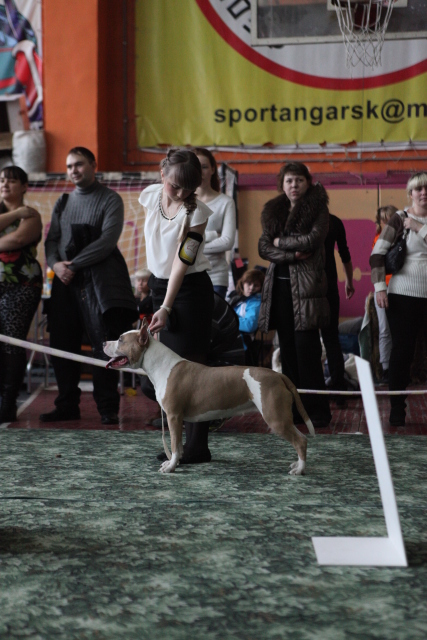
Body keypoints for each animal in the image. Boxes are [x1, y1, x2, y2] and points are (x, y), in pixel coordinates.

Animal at [103, 321, 315, 475]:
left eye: (120, 339)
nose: (104, 342)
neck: (160, 365)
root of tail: (278, 376)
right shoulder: (177, 418)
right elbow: (178, 446)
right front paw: (175, 462)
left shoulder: (173, 416)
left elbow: (173, 444)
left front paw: (171, 467)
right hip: (281, 415)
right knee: (301, 437)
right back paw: (297, 465)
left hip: (275, 417)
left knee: (301, 441)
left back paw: (300, 470)